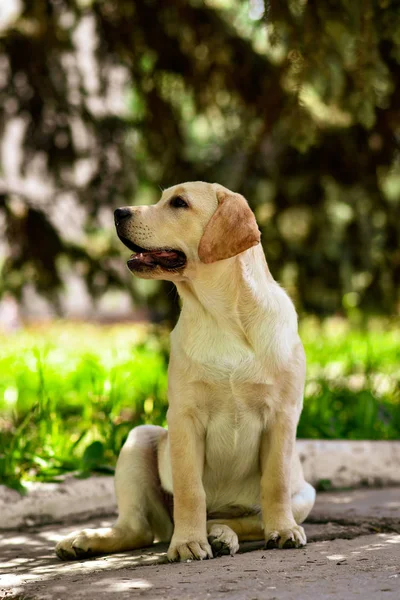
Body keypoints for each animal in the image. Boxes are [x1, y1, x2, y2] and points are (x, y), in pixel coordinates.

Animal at [55, 182, 316, 564]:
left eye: (179, 203)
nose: (118, 212)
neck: (221, 316)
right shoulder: (183, 417)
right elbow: (190, 489)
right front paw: (188, 543)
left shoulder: (282, 415)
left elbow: (275, 482)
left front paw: (282, 530)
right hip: (139, 440)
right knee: (137, 529)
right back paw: (88, 539)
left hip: (306, 494)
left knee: (247, 520)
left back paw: (223, 534)